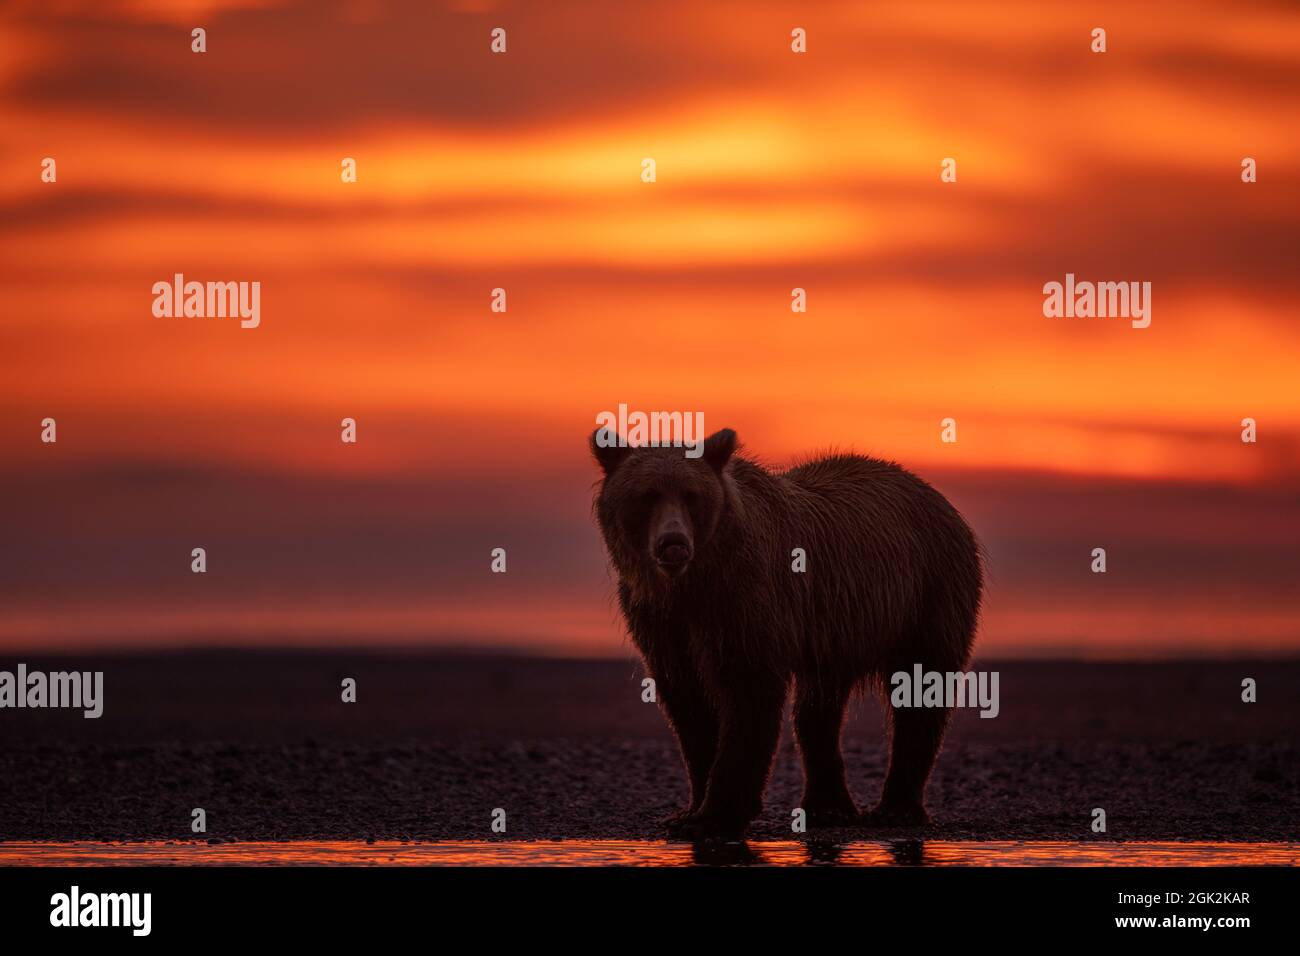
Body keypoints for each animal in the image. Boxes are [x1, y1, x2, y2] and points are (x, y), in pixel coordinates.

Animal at [592, 429, 982, 842]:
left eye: (692, 495)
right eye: (646, 495)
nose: (674, 543)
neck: (693, 586)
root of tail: (933, 493)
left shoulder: (746, 603)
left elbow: (748, 695)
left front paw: (715, 815)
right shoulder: (662, 622)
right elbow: (688, 703)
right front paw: (688, 810)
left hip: (926, 594)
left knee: (921, 692)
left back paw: (896, 810)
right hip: (836, 632)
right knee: (818, 710)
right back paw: (829, 808)